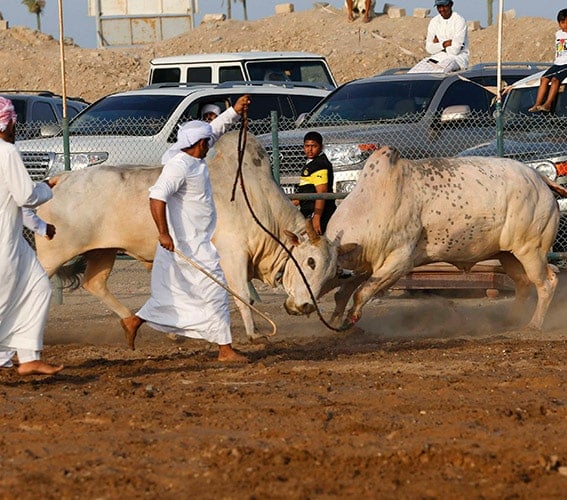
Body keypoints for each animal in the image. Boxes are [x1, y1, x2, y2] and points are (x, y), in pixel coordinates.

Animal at [37, 133, 340, 340]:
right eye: (310, 262)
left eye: (331, 273)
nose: (304, 306)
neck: (258, 202)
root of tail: (59, 180)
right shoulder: (232, 254)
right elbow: (243, 295)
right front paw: (253, 334)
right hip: (54, 253)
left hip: (103, 250)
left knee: (95, 283)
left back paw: (139, 325)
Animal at [324, 146, 564, 332]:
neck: (370, 205)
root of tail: (539, 179)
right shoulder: (370, 263)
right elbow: (345, 291)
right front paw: (336, 321)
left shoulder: (399, 261)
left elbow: (361, 292)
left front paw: (350, 319)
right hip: (507, 253)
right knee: (522, 282)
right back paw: (511, 320)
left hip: (531, 249)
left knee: (546, 282)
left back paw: (534, 324)